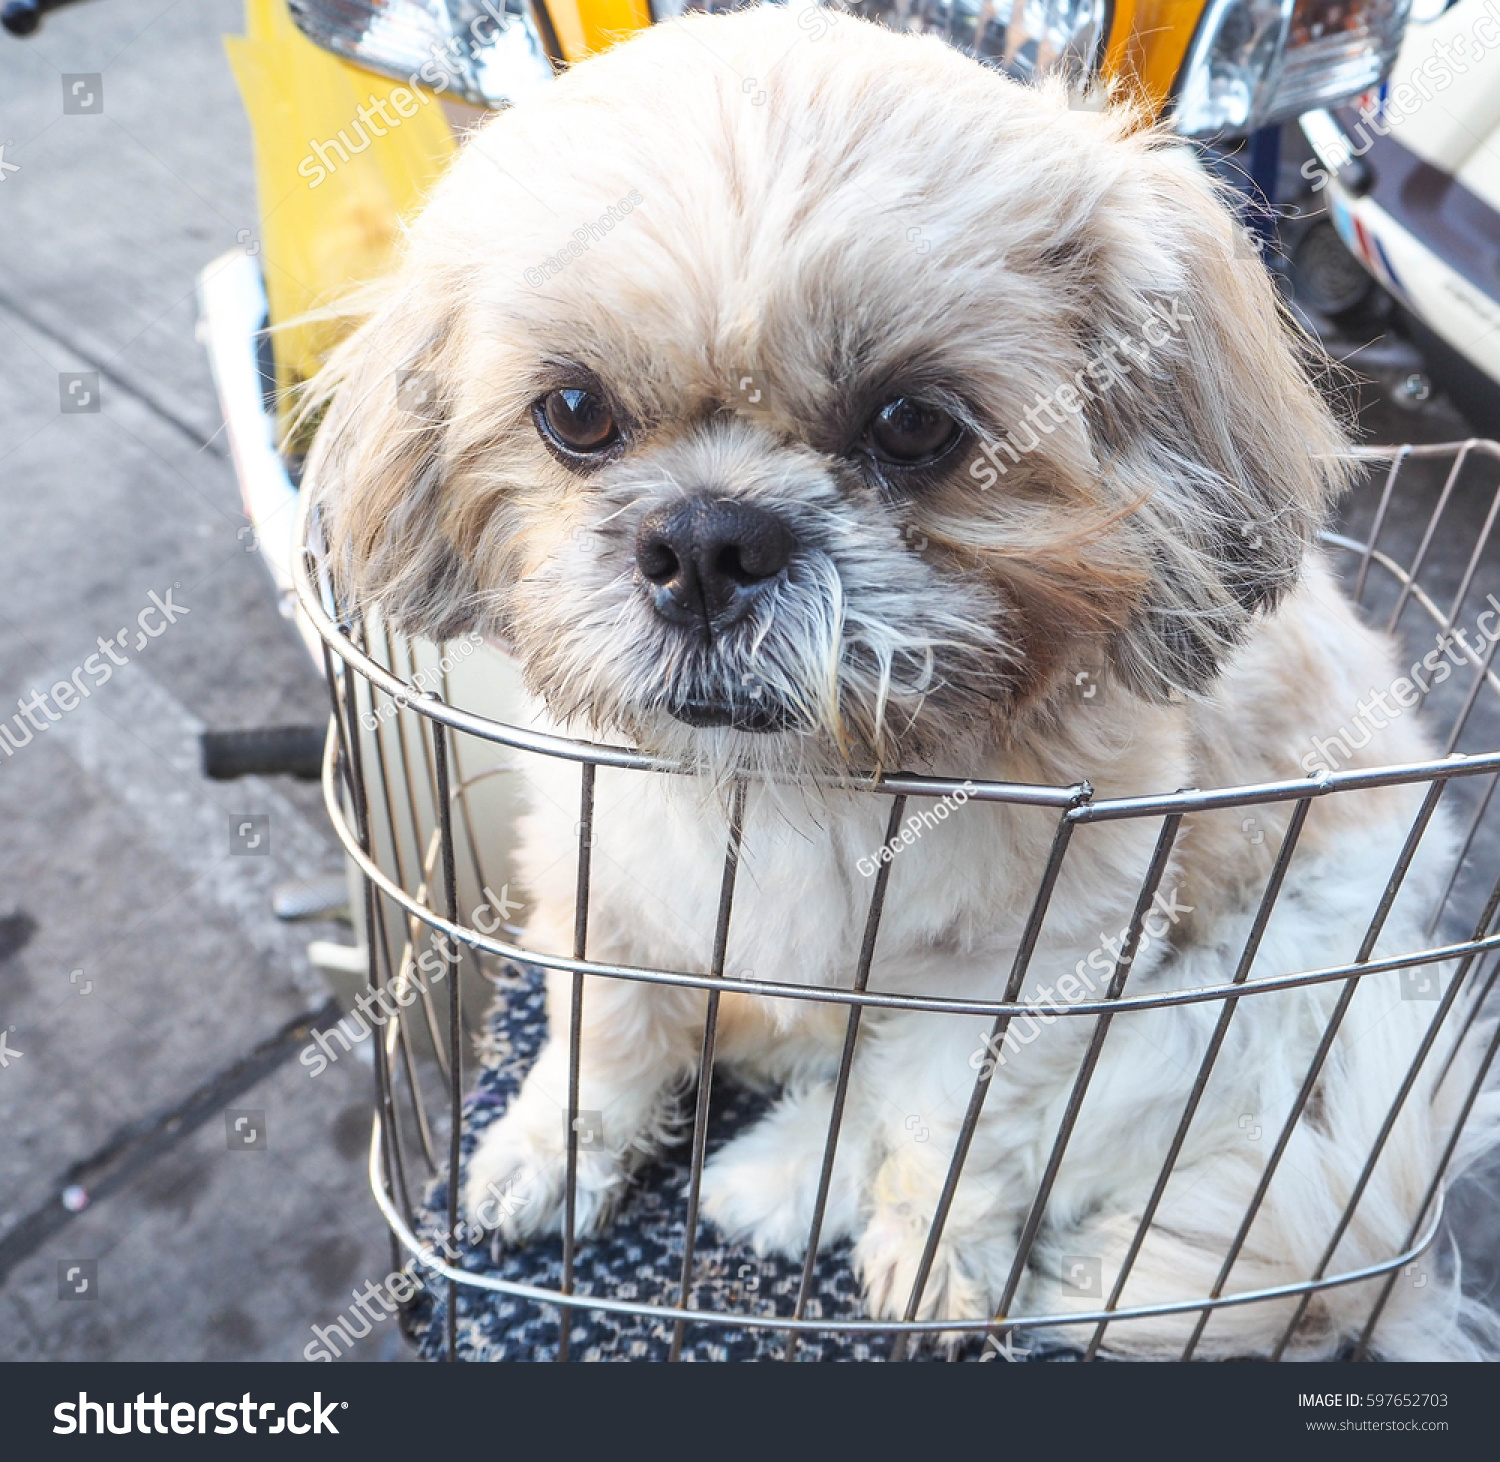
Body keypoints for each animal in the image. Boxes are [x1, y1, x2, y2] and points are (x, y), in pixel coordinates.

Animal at [307, 8, 1500, 1361]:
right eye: (574, 410)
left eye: (916, 425)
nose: (709, 540)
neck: (804, 785)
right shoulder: (598, 879)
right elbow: (600, 1043)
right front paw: (550, 1154)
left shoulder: (1040, 973)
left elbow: (953, 1130)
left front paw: (930, 1257)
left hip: (1241, 995)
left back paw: (774, 1181)